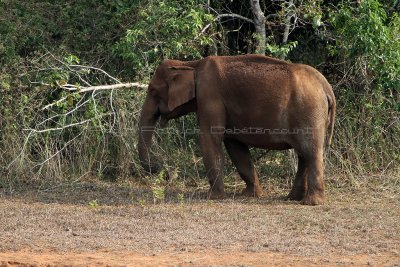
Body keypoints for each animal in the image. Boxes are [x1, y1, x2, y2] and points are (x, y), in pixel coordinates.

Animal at [138, 54, 334, 205]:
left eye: (152, 90)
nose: (160, 168)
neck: (192, 64)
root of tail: (326, 86)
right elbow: (235, 146)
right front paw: (251, 195)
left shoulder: (209, 96)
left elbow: (210, 138)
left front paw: (213, 197)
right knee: (304, 155)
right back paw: (292, 198)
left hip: (309, 112)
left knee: (311, 152)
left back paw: (311, 203)